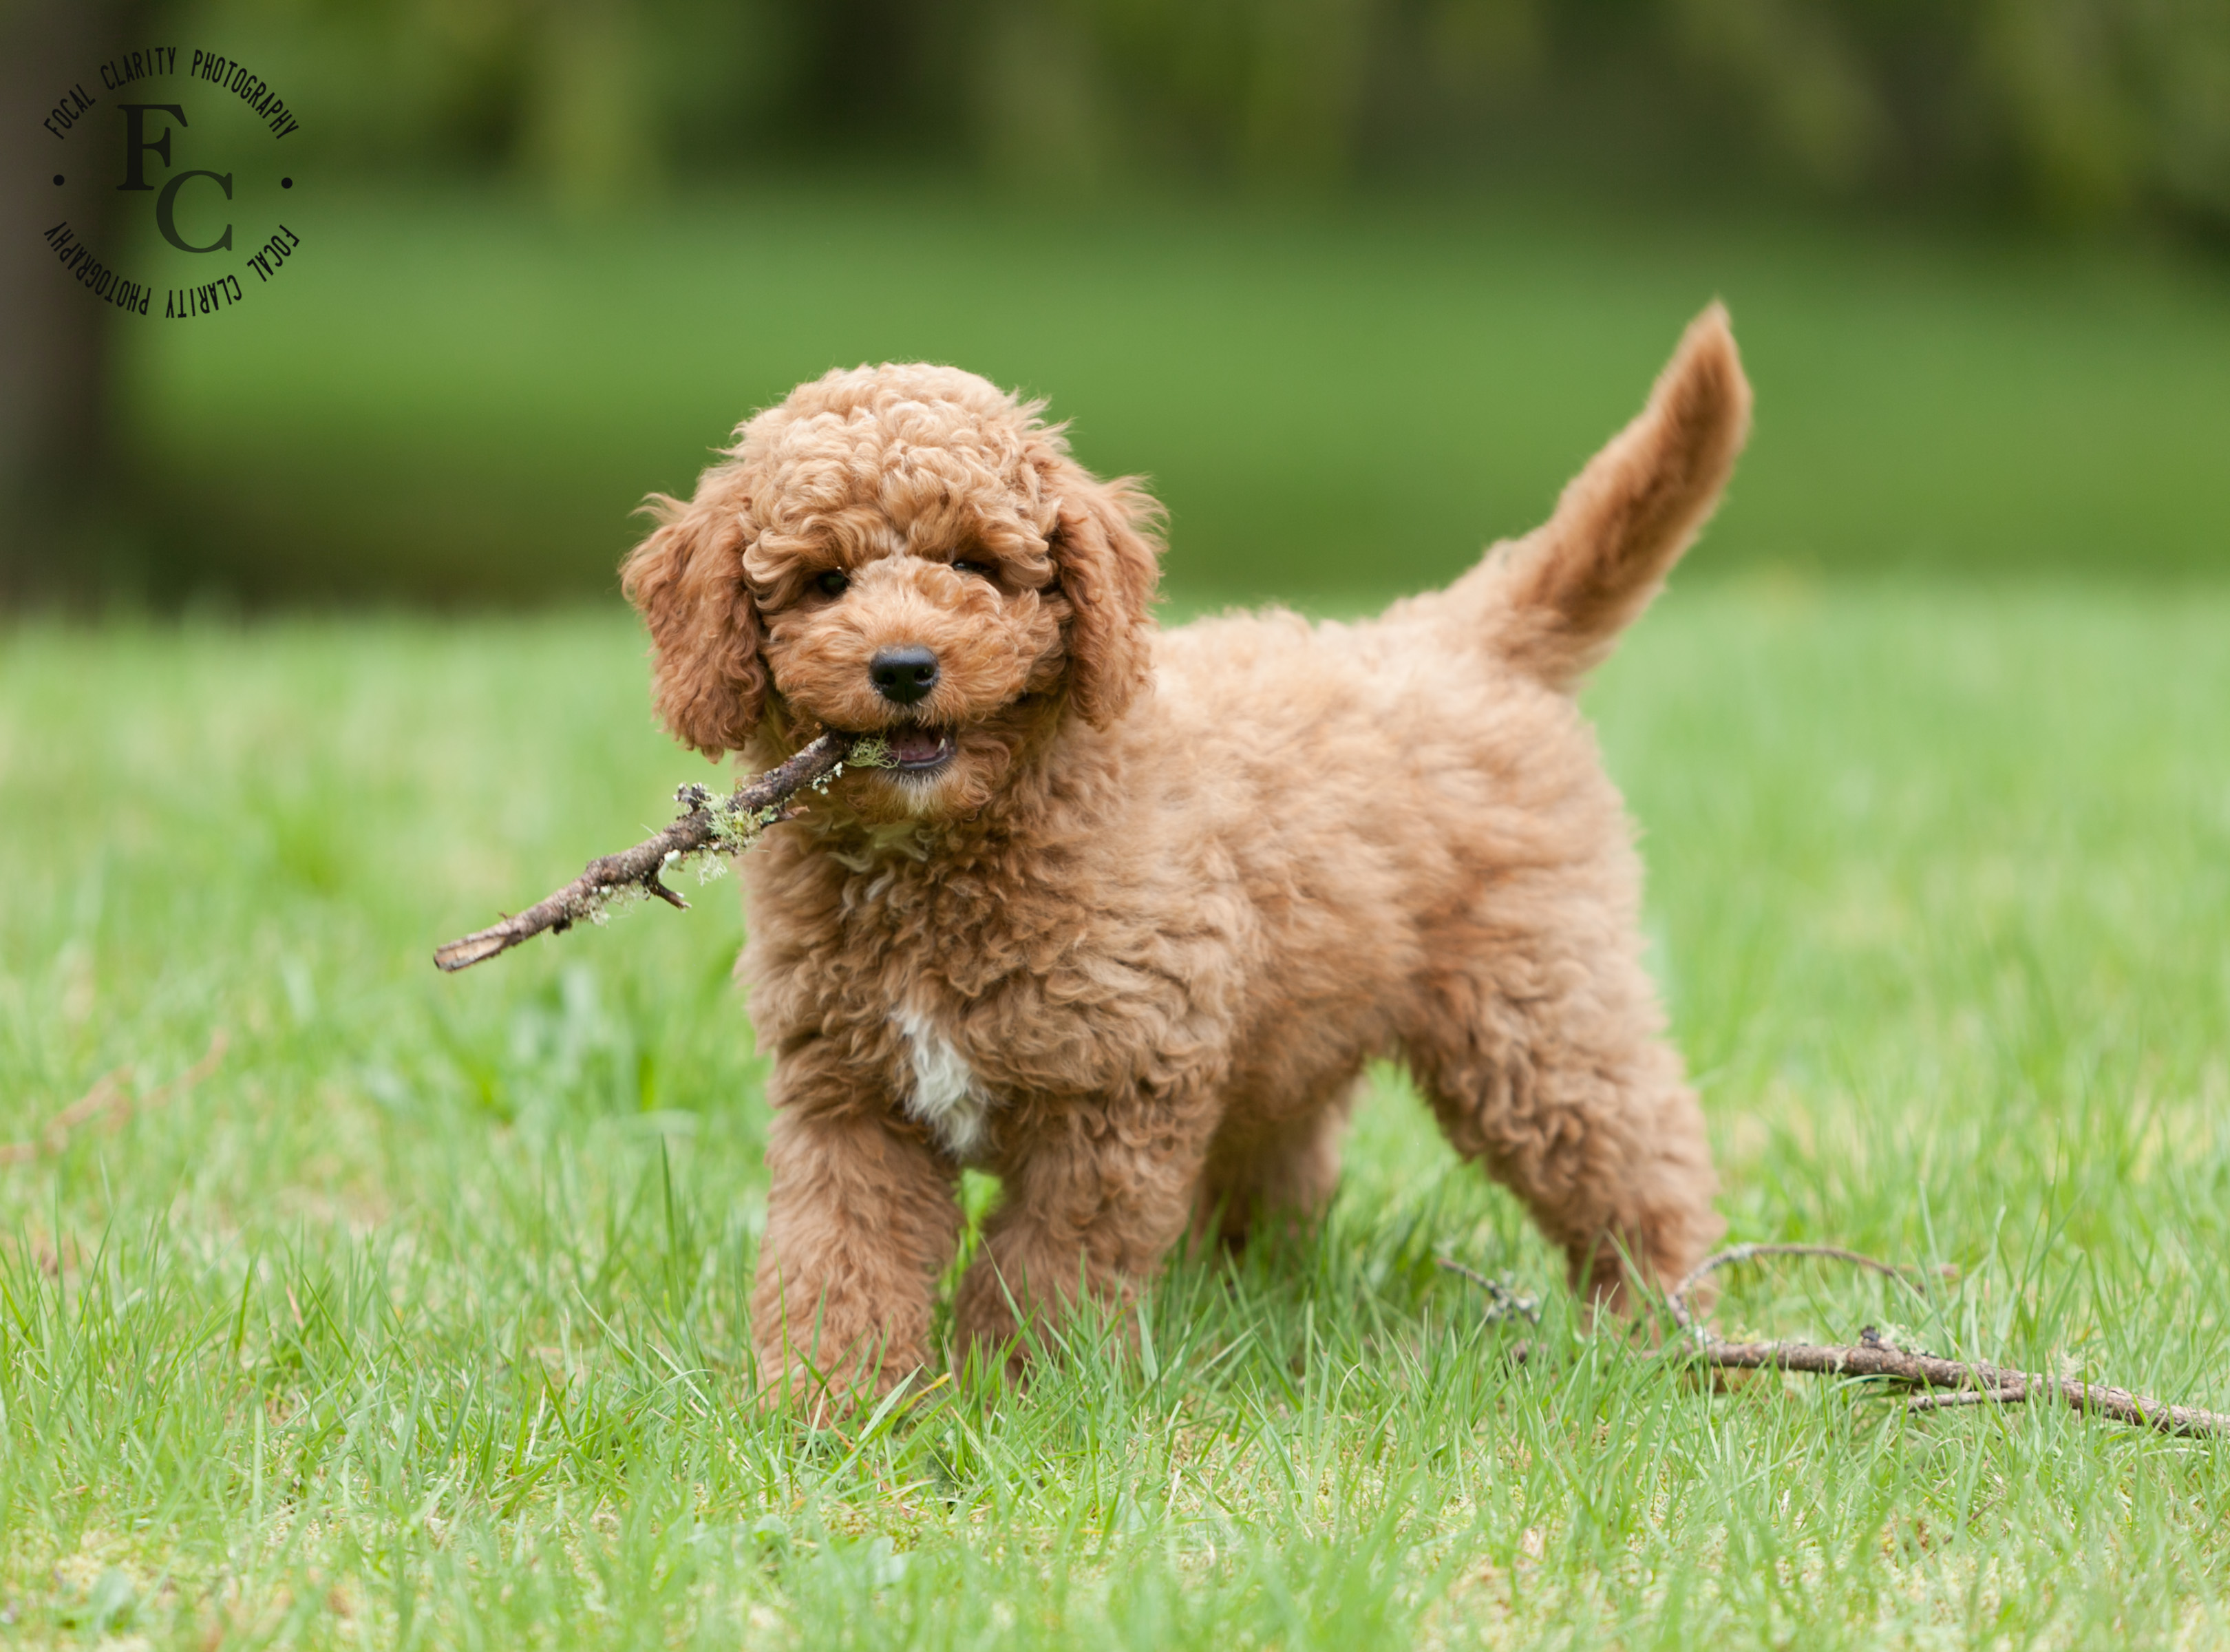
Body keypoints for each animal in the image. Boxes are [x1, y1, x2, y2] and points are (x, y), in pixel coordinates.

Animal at [619, 305, 1748, 1391]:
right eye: (825, 581)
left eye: (976, 565)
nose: (903, 667)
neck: (943, 854)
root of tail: (1459, 634)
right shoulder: (849, 1096)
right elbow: (839, 1252)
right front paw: (832, 1402)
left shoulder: (1118, 1088)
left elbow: (1052, 1256)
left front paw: (1022, 1388)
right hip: (1299, 1027)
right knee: (1292, 1160)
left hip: (1533, 1005)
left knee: (1637, 1156)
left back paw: (1664, 1324)